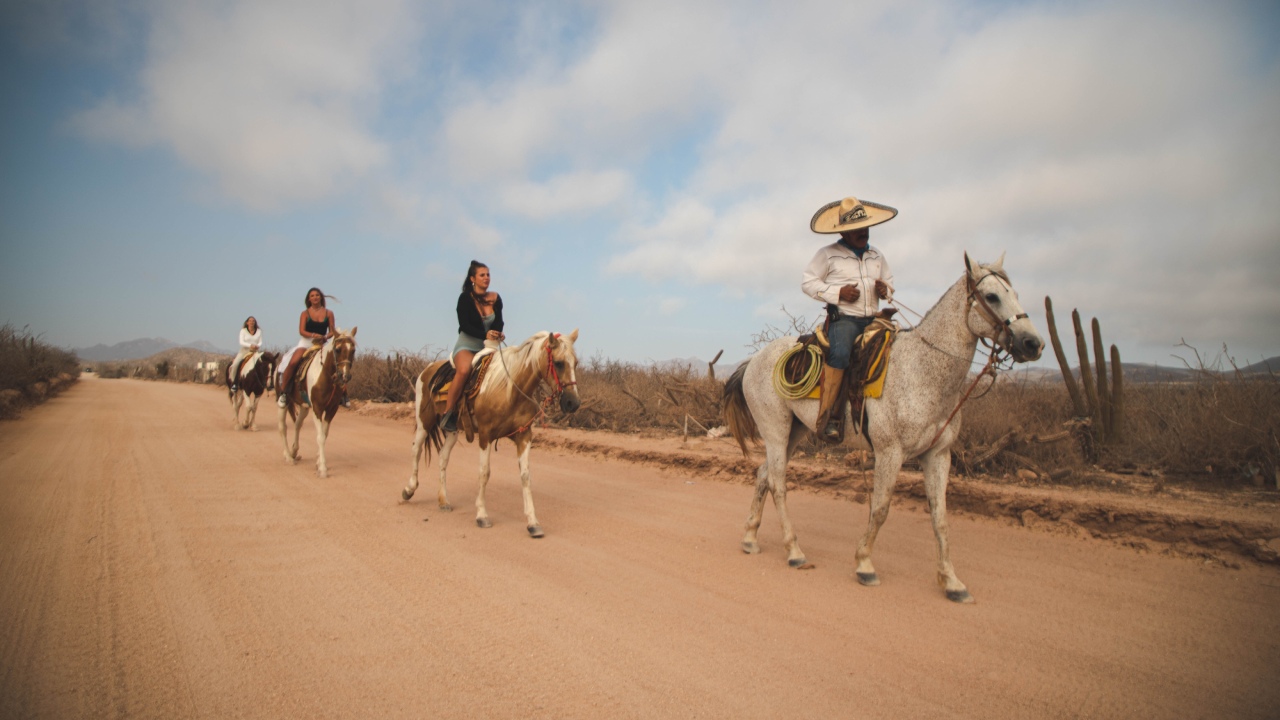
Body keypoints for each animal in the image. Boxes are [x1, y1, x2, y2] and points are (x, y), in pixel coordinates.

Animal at [277, 326, 358, 476]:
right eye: (338, 349)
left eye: (353, 350)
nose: (345, 376)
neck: (327, 376)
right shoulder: (317, 408)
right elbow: (320, 436)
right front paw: (323, 468)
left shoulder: (332, 409)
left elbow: (324, 435)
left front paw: (318, 461)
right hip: (283, 403)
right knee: (282, 427)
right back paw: (288, 457)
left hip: (304, 406)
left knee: (297, 424)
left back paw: (294, 451)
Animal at [401, 327, 583, 535]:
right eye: (559, 363)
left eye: (575, 363)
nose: (573, 403)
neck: (509, 389)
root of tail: (428, 369)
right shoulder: (485, 435)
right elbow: (484, 472)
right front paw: (482, 515)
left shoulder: (524, 436)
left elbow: (525, 476)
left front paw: (532, 522)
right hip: (424, 421)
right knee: (416, 450)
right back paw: (409, 489)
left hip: (453, 431)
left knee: (443, 458)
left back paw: (444, 500)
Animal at [721, 252, 1039, 599]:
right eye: (992, 296)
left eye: (1016, 294)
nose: (1033, 343)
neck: (921, 369)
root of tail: (753, 361)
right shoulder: (890, 452)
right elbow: (881, 508)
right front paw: (864, 564)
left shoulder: (938, 455)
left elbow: (940, 517)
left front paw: (951, 580)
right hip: (775, 431)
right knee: (778, 483)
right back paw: (794, 551)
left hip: (796, 431)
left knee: (764, 475)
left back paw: (750, 537)